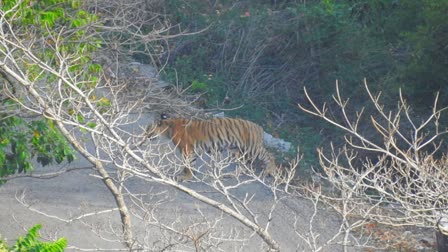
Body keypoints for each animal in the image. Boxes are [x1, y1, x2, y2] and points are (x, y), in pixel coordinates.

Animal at [146, 114, 276, 181]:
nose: (146, 136)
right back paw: (231, 175)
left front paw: (186, 176)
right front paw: (189, 175)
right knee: (244, 165)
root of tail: (259, 127)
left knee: (269, 155)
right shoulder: (192, 151)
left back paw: (269, 171)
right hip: (237, 151)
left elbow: (188, 164)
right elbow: (191, 164)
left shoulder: (187, 149)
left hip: (252, 148)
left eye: (148, 130)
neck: (168, 128)